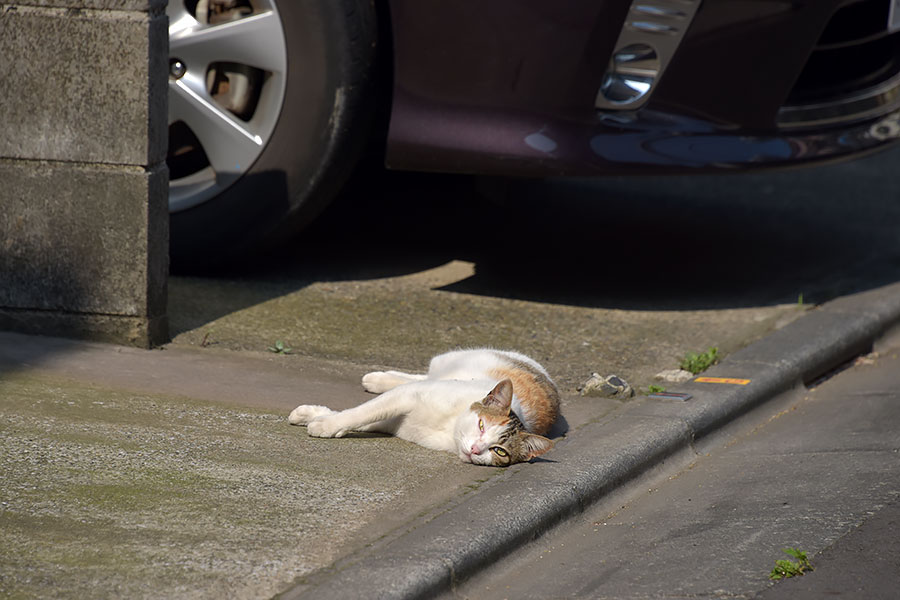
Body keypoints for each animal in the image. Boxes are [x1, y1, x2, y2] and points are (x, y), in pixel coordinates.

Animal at [288, 346, 560, 468]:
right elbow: (360, 412)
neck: (449, 428)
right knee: (422, 377)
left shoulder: (396, 420)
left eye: (499, 451)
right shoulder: (406, 398)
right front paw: (323, 420)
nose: (475, 449)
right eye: (482, 425)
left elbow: (365, 417)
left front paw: (321, 419)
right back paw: (377, 379)